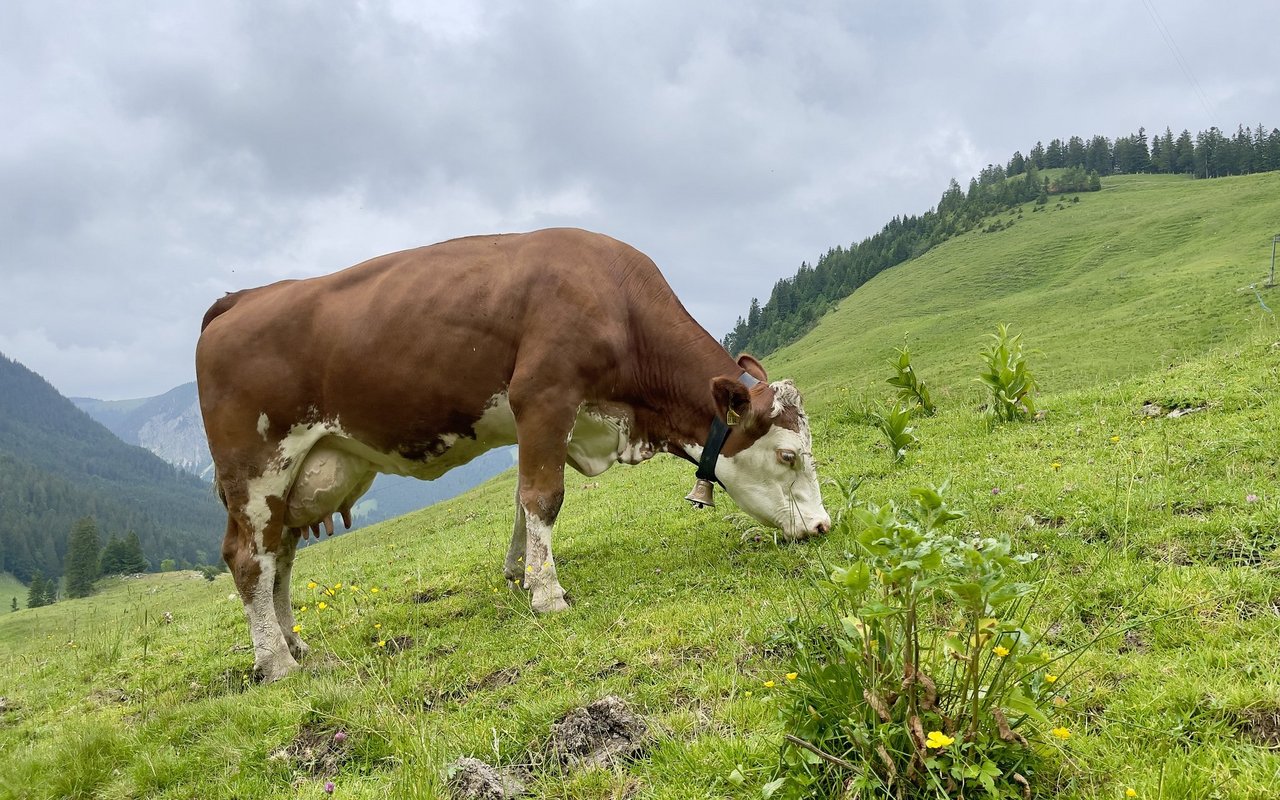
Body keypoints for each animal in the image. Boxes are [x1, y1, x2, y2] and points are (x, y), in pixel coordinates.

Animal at [190, 226, 829, 680]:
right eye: (789, 455)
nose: (823, 526)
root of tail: (239, 299)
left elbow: (522, 504)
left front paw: (520, 574)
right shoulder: (544, 395)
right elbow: (544, 497)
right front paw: (547, 595)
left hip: (298, 474)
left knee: (280, 554)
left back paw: (293, 642)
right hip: (256, 466)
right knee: (248, 557)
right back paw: (275, 663)